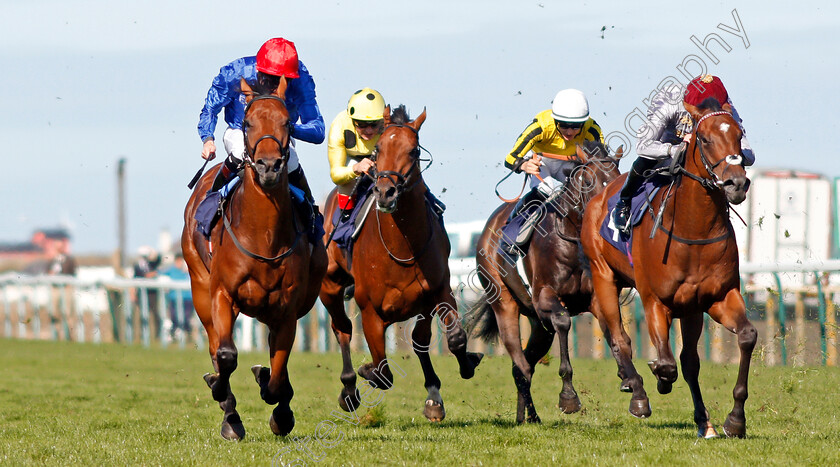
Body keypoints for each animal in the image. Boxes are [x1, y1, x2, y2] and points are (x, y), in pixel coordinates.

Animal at [182, 78, 326, 440]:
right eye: (247, 123)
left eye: (287, 122)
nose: (269, 166)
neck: (264, 235)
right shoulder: (222, 294)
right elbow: (226, 355)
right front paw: (220, 392)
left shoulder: (287, 308)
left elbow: (277, 372)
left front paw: (279, 410)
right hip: (200, 289)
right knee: (215, 348)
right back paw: (229, 414)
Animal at [318, 107, 482, 424]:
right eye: (379, 149)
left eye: (413, 150)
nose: (385, 192)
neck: (402, 245)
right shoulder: (369, 310)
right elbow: (382, 371)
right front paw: (365, 370)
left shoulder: (438, 291)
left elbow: (448, 338)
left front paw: (454, 377)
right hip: (329, 286)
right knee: (342, 329)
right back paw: (349, 390)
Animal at [470, 142, 620, 424]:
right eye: (590, 181)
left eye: (618, 177)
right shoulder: (545, 298)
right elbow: (563, 322)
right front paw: (569, 397)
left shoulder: (593, 297)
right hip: (505, 303)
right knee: (521, 365)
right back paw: (528, 417)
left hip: (538, 324)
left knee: (523, 367)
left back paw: (527, 417)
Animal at [580, 99, 756, 438]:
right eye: (704, 139)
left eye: (739, 136)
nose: (737, 183)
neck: (693, 229)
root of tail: (601, 192)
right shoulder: (655, 301)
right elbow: (665, 362)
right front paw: (659, 380)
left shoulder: (717, 297)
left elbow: (746, 336)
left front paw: (735, 420)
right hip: (603, 275)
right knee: (620, 338)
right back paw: (638, 394)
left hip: (690, 309)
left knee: (689, 361)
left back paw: (703, 421)